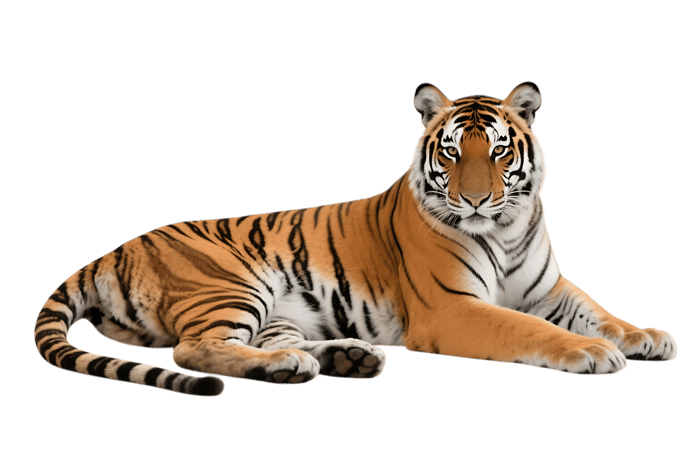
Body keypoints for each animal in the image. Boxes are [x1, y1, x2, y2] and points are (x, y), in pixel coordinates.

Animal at [34, 82, 678, 396]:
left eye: (498, 151)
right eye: (452, 152)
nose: (474, 200)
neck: (506, 229)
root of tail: (115, 248)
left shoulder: (550, 289)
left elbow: (599, 311)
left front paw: (646, 337)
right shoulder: (452, 308)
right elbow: (529, 330)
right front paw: (592, 353)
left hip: (275, 308)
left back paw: (341, 357)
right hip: (232, 284)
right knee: (192, 349)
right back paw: (302, 364)